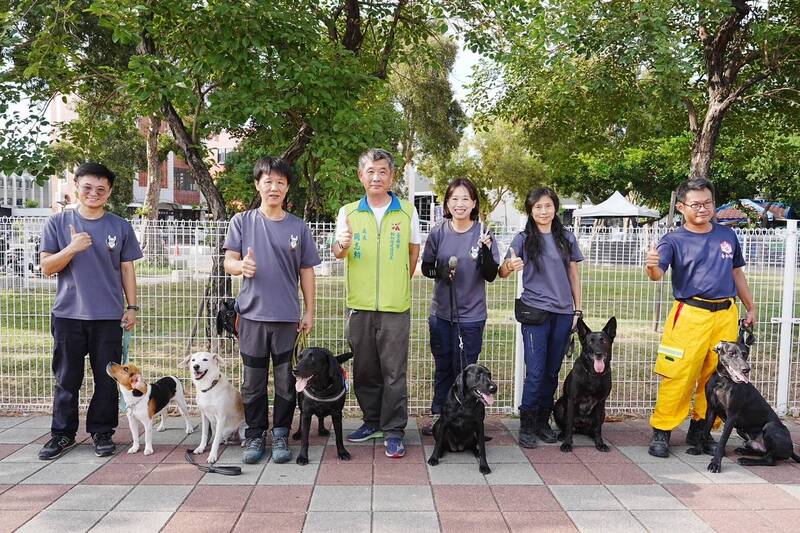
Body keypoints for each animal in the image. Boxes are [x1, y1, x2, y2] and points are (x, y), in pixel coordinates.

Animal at [556, 316, 620, 454]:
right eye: (590, 342)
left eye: (604, 341)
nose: (598, 353)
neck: (593, 375)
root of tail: (581, 427)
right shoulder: (572, 400)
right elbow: (568, 425)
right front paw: (567, 444)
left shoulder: (601, 402)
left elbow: (598, 428)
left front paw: (599, 443)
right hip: (559, 405)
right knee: (567, 427)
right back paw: (562, 435)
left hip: (603, 413)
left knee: (594, 429)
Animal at [688, 334, 800, 472]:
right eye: (731, 353)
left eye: (745, 354)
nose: (746, 369)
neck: (723, 381)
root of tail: (791, 450)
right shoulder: (711, 410)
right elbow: (704, 432)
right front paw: (698, 449)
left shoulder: (731, 417)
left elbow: (722, 442)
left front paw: (715, 464)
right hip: (741, 431)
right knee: (764, 452)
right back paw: (744, 450)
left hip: (771, 426)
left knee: (770, 460)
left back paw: (746, 460)